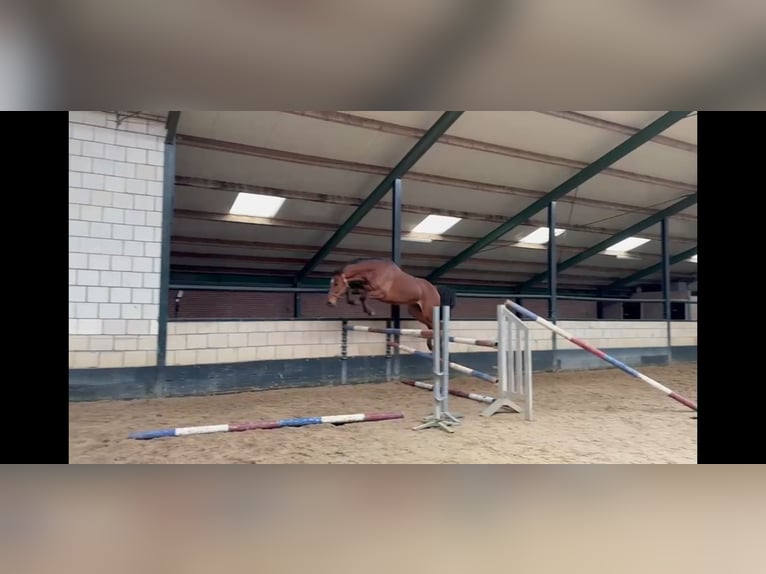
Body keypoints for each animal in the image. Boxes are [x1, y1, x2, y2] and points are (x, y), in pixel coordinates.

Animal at [326, 258, 457, 350]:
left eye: (336, 284)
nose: (329, 302)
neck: (375, 271)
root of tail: (435, 288)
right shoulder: (365, 286)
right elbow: (356, 291)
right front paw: (354, 302)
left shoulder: (381, 293)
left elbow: (363, 296)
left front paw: (369, 311)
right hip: (416, 312)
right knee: (431, 326)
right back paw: (431, 346)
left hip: (428, 311)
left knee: (438, 326)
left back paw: (438, 346)